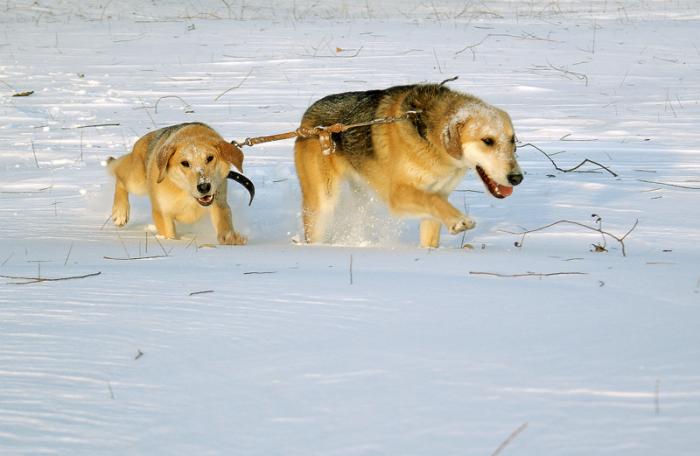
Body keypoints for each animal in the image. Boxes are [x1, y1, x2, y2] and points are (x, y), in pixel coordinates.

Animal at [106, 120, 252, 242]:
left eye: (210, 158)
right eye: (185, 163)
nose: (204, 187)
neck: (187, 194)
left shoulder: (219, 202)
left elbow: (224, 222)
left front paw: (231, 239)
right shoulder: (162, 211)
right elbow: (169, 235)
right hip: (137, 181)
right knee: (119, 174)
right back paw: (120, 212)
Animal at [292, 83, 524, 248]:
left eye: (512, 140)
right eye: (488, 141)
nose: (517, 178)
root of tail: (306, 121)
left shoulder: (438, 196)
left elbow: (434, 215)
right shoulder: (399, 194)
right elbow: (431, 199)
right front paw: (458, 220)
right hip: (323, 202)